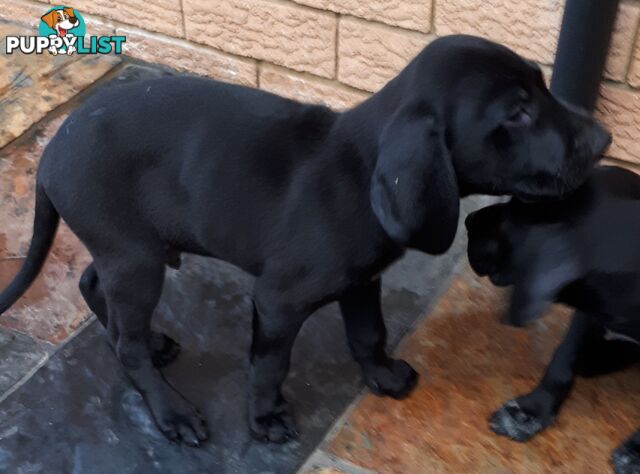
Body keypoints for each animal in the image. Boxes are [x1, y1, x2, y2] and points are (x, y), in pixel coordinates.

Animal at [464, 166, 640, 470]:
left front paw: (637, 452)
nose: (468, 218)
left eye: (514, 216)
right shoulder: (587, 311)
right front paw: (529, 411)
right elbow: (562, 359)